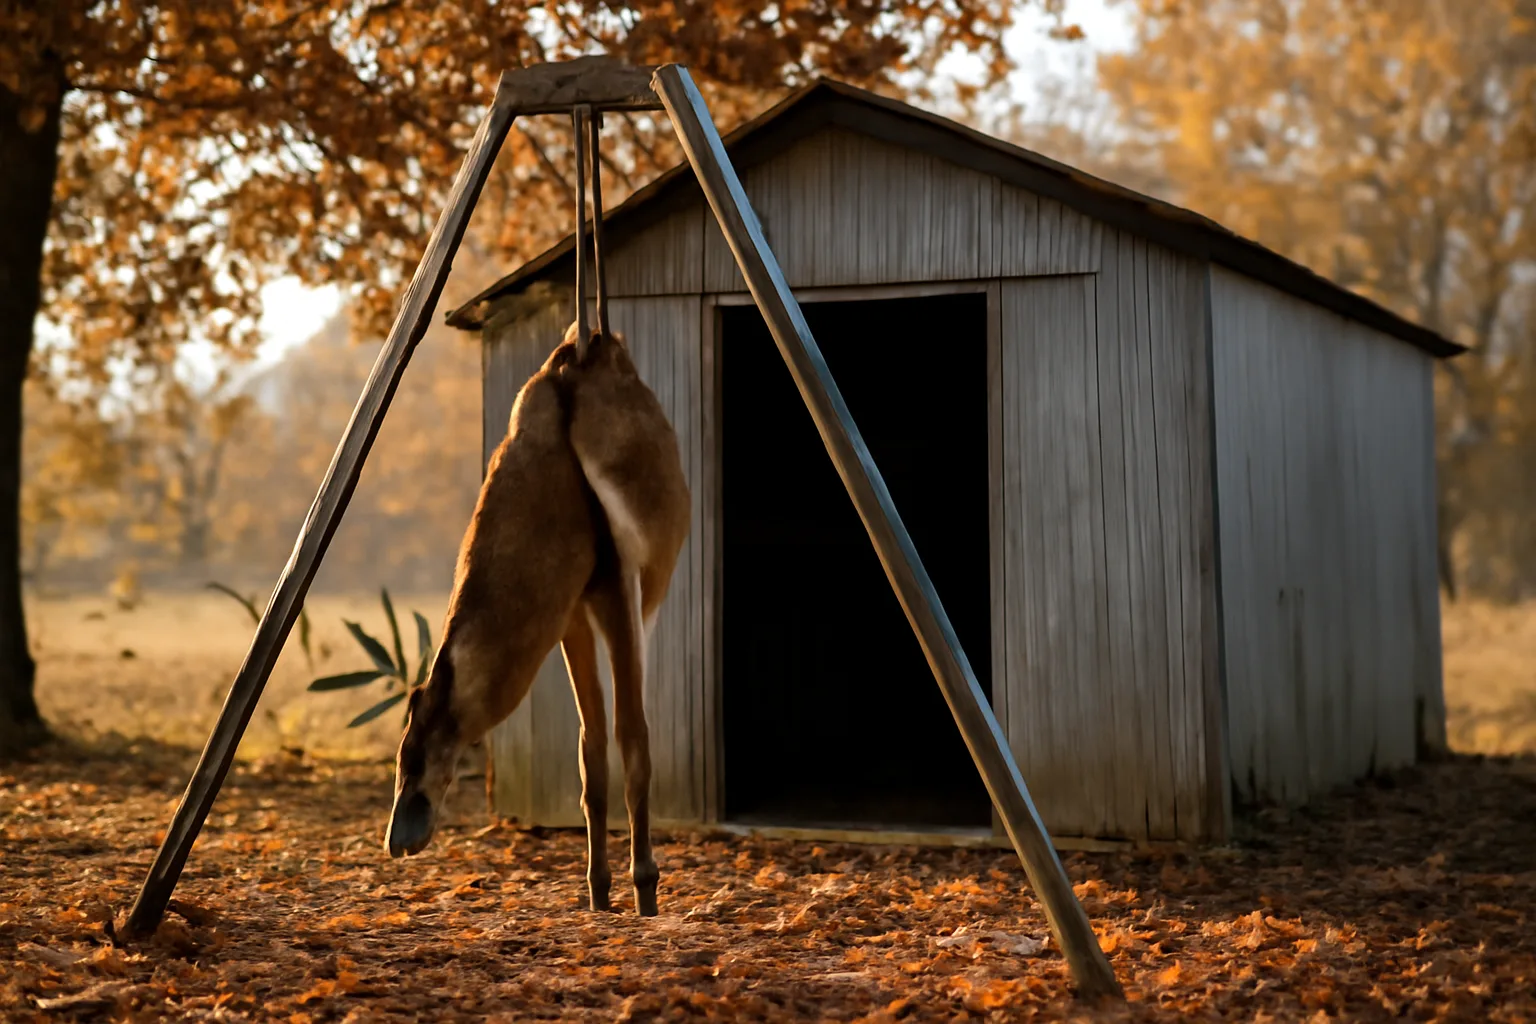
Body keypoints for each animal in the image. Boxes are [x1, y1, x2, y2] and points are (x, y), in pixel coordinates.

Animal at [384, 319, 691, 917]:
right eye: (400, 757)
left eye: (425, 753)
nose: (398, 839)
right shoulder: (569, 613)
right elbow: (589, 745)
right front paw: (598, 890)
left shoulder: (617, 584)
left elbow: (633, 736)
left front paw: (645, 888)